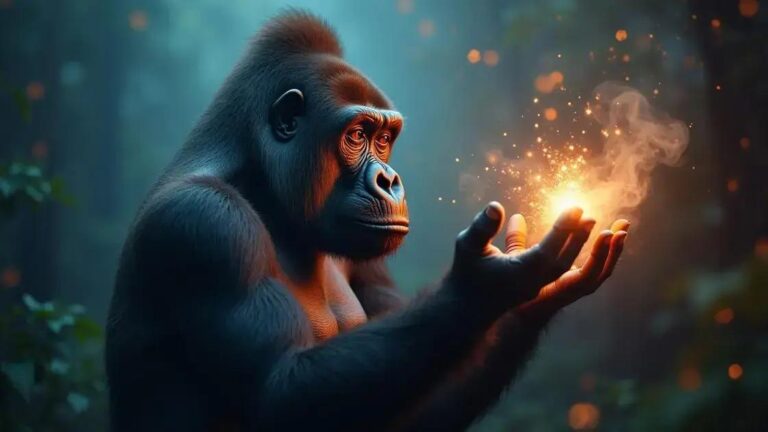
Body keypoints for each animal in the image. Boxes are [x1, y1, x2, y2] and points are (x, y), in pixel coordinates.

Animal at [105, 10, 628, 432]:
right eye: (357, 135)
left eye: (385, 138)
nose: (390, 180)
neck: (262, 187)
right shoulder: (206, 225)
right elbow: (279, 391)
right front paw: (485, 284)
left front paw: (532, 299)